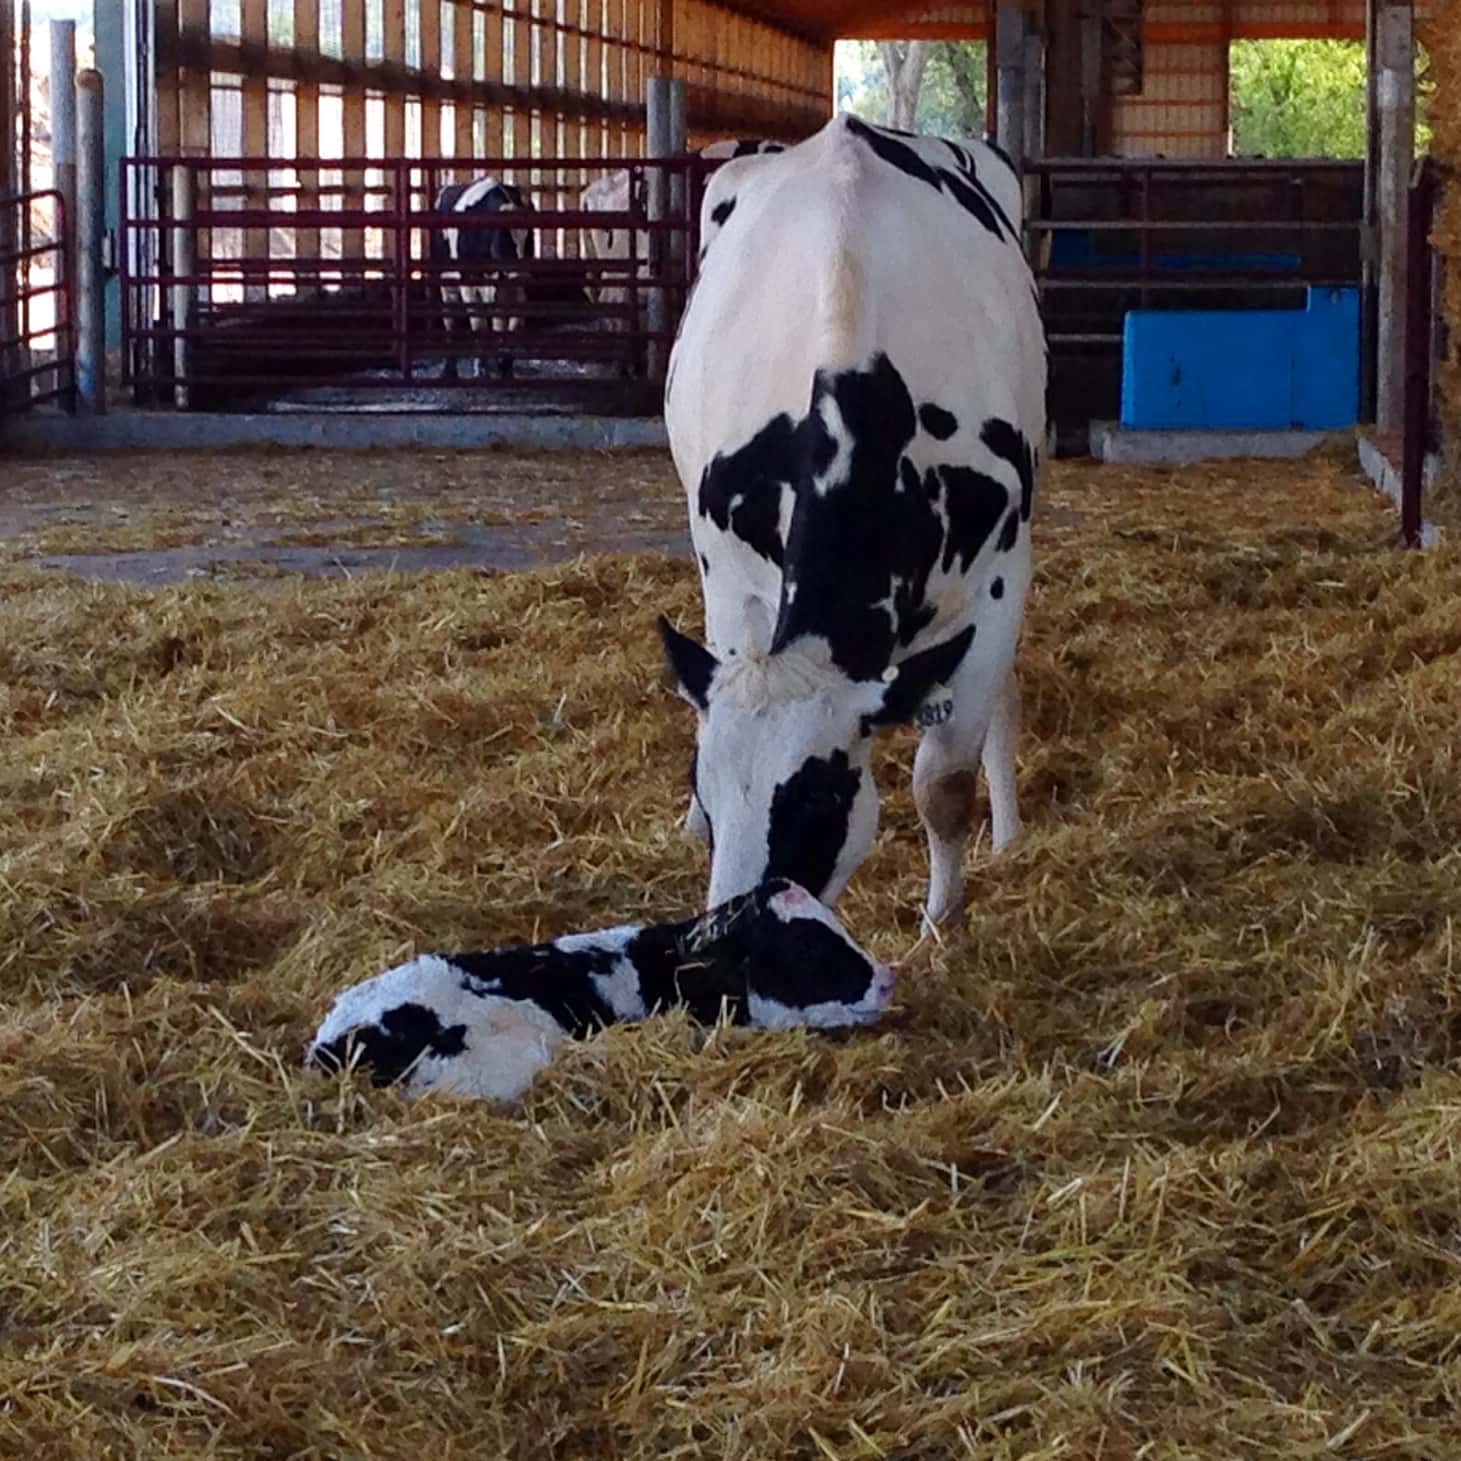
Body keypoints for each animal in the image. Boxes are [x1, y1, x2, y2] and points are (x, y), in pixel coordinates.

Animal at [657, 116, 1046, 935]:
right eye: (707, 785)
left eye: (819, 799)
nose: (727, 939)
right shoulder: (729, 577)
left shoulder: (997, 579)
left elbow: (944, 782)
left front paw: (941, 923)